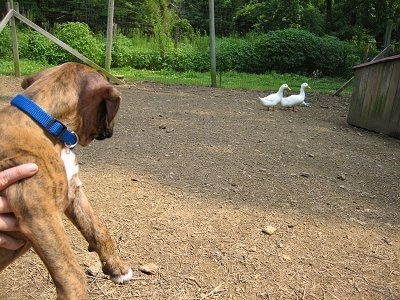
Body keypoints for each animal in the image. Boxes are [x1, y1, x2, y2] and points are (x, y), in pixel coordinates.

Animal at [0, 62, 134, 298]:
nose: (112, 130)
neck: (48, 124)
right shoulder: (39, 214)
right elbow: (70, 271)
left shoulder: (73, 191)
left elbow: (98, 229)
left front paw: (117, 268)